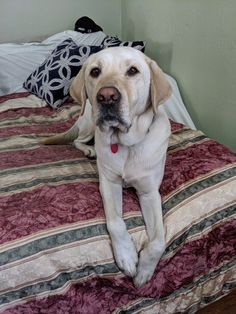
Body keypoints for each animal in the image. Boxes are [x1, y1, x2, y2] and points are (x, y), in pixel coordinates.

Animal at [43, 47, 171, 288]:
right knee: (77, 141)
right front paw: (127, 256)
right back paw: (89, 150)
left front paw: (144, 271)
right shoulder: (109, 184)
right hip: (87, 124)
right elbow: (115, 222)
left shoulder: (150, 193)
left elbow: (159, 241)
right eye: (95, 71)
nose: (107, 96)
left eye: (133, 71)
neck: (126, 144)